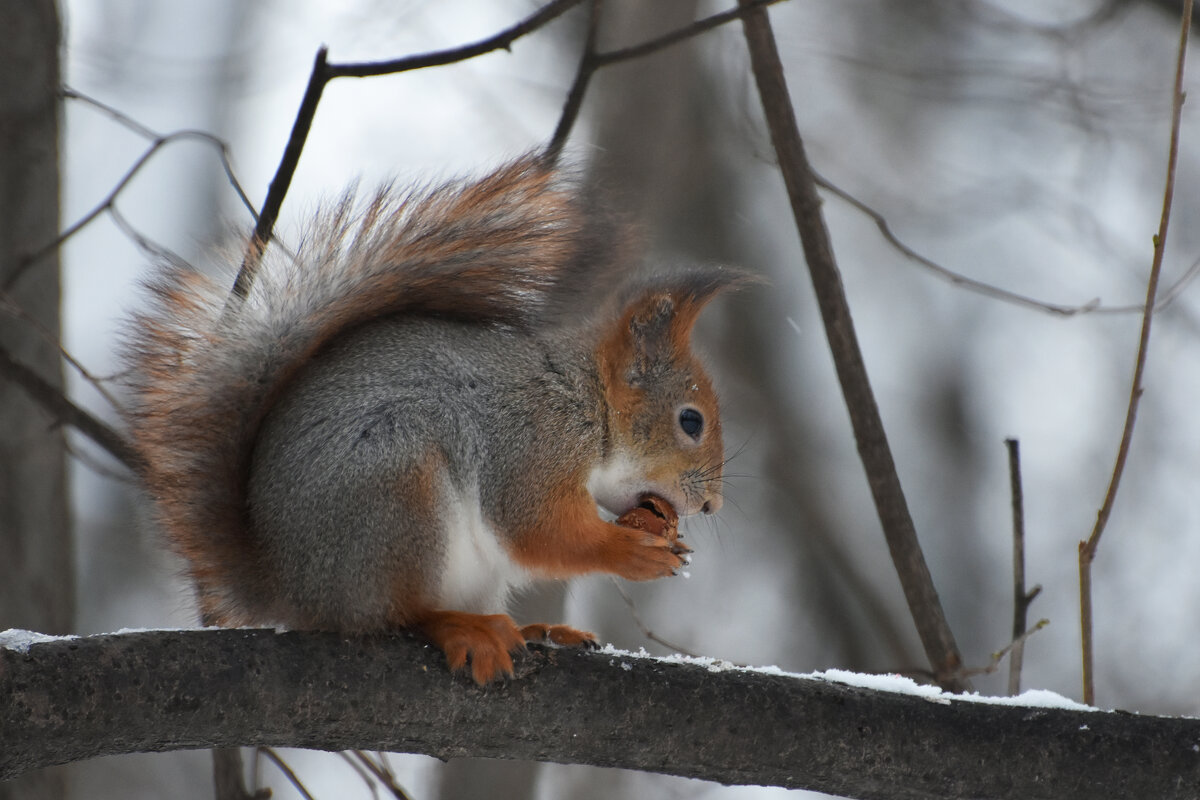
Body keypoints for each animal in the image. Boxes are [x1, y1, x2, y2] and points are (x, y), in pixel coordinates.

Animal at [119, 154, 739, 681]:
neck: (587, 402)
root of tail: (293, 588)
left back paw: (536, 629)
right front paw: (631, 552)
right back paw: (462, 628)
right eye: (690, 422)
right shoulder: (530, 441)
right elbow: (537, 529)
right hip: (398, 494)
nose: (713, 506)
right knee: (398, 615)